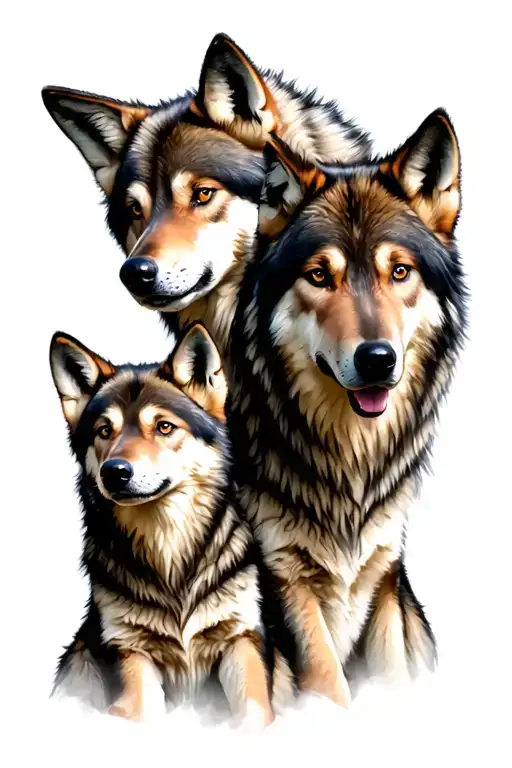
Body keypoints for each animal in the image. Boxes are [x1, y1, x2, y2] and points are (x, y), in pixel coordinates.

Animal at [49, 323, 294, 726]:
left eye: (164, 427)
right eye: (104, 431)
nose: (114, 472)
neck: (169, 554)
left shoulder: (242, 641)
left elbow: (254, 713)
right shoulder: (129, 653)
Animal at [224, 109, 468, 704]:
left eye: (399, 272)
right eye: (319, 275)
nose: (377, 360)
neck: (349, 466)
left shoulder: (383, 576)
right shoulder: (286, 581)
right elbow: (328, 688)